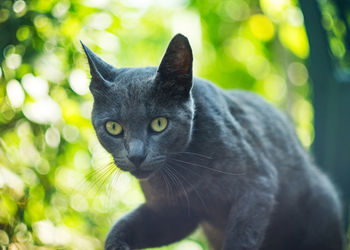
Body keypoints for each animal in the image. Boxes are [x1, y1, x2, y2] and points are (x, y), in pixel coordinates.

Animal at [81, 33, 344, 250]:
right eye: (113, 127)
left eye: (159, 123)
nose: (136, 156)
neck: (186, 177)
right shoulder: (173, 213)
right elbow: (121, 228)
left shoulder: (257, 185)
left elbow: (242, 238)